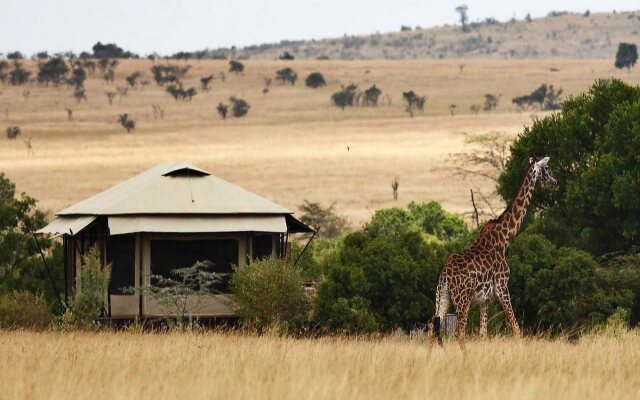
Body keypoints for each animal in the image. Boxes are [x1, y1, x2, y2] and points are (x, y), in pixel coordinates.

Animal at [432, 156, 556, 344]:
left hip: (442, 297)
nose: (555, 182)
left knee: (433, 329)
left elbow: (483, 334)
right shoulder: (502, 286)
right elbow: (516, 328)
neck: (504, 239)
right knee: (459, 332)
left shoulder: (485, 298)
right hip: (462, 299)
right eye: (547, 168)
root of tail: (445, 274)